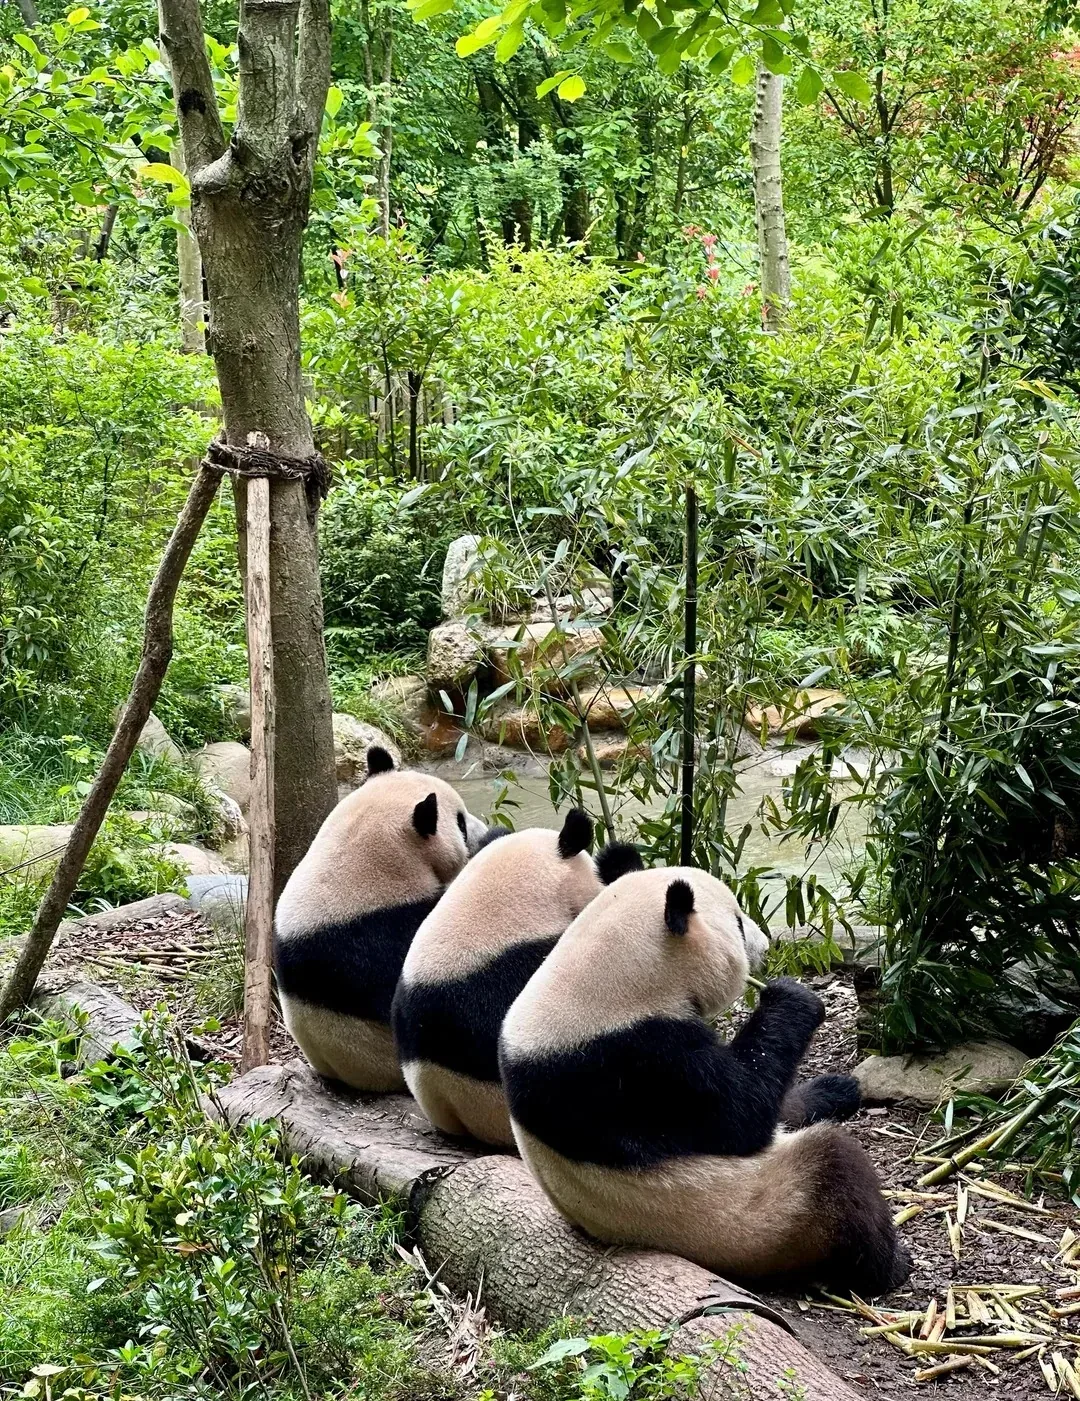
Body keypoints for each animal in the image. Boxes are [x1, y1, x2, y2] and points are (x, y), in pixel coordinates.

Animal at [499, 866, 910, 1296]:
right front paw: (793, 997)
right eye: (738, 923)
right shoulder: (638, 1063)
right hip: (758, 1219)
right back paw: (888, 1266)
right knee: (837, 1171)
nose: (766, 948)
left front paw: (834, 1088)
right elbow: (742, 1115)